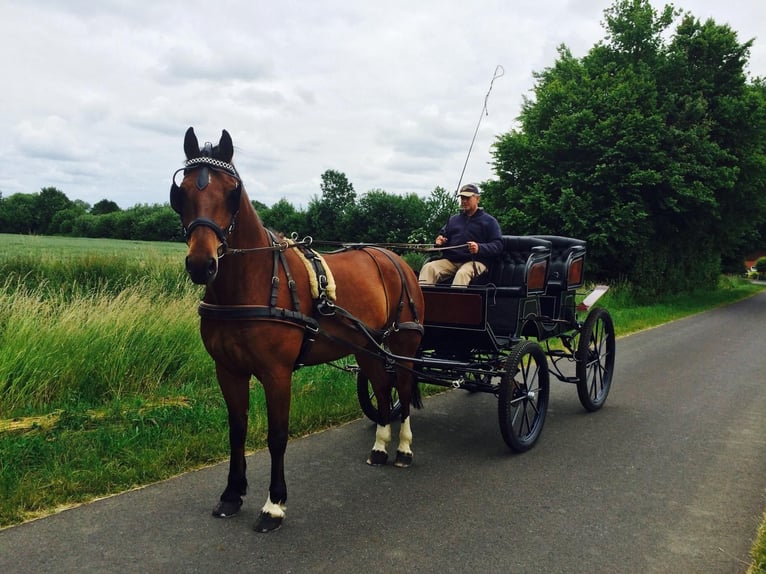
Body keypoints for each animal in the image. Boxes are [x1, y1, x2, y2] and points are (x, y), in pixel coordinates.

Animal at [169, 127, 425, 532]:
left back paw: (402, 448)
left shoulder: (277, 374)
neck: (251, 284)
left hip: (404, 343)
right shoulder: (228, 370)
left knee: (401, 386)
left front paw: (273, 505)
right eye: (182, 192)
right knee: (383, 388)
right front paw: (232, 494)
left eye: (232, 191)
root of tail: (395, 258)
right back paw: (380, 446)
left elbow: (277, 436)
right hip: (367, 347)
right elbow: (237, 430)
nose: (201, 264)